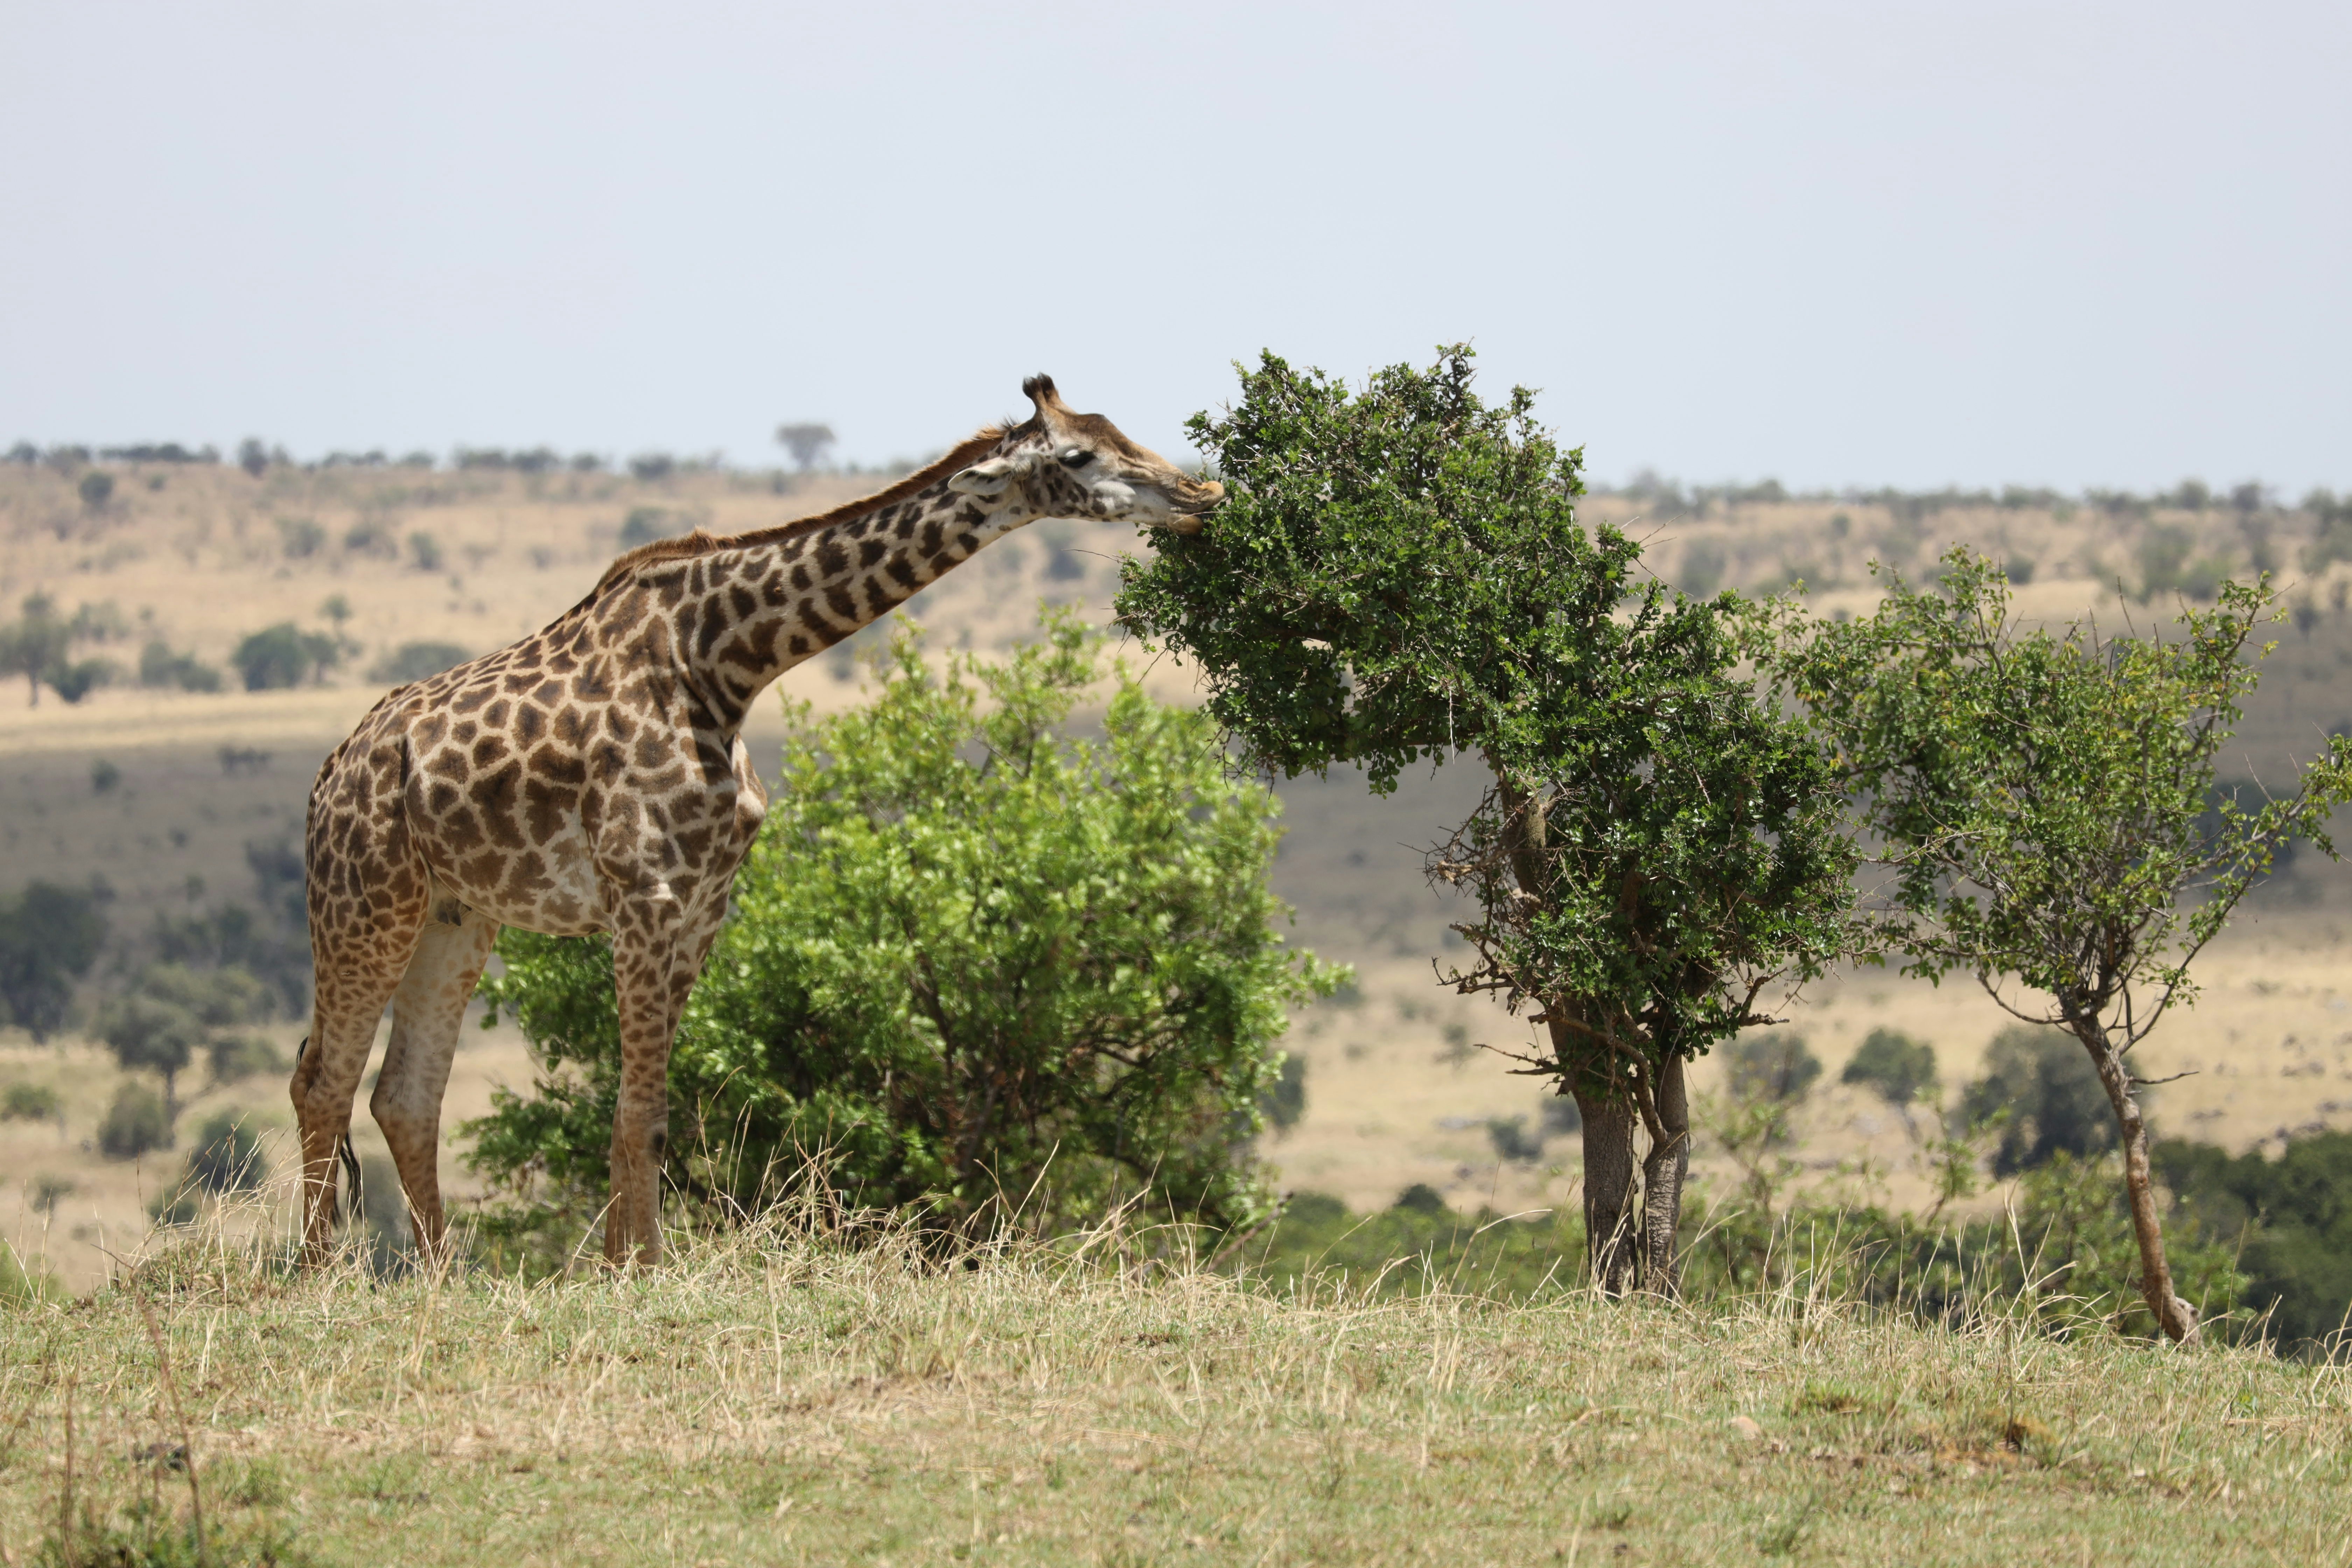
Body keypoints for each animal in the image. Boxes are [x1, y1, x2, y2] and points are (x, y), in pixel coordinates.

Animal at [292, 375, 1224, 1266]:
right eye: (1076, 456)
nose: (1200, 494)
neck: (727, 662)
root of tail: (328, 778)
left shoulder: (706, 904)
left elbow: (652, 1113)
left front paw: (627, 1266)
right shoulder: (646, 894)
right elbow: (638, 1111)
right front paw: (633, 1274)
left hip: (456, 915)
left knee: (403, 1095)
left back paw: (442, 1277)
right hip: (366, 902)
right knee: (322, 1080)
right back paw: (317, 1272)